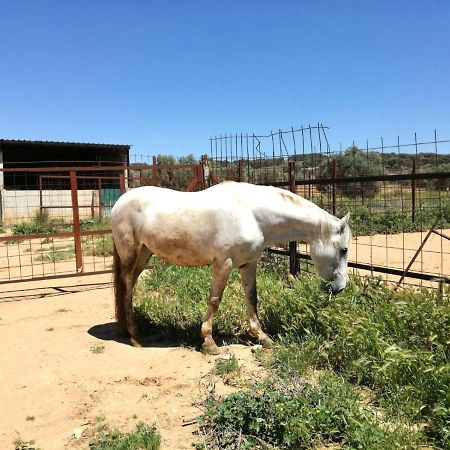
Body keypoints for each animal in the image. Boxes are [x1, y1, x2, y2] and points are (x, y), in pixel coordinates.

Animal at [110, 181, 352, 354]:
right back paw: (134, 336)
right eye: (344, 250)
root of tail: (120, 202)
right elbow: (215, 300)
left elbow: (252, 298)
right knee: (127, 285)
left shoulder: (248, 264)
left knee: (129, 285)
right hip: (130, 252)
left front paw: (263, 338)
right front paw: (209, 343)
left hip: (144, 253)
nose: (340, 288)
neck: (252, 214)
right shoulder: (223, 264)